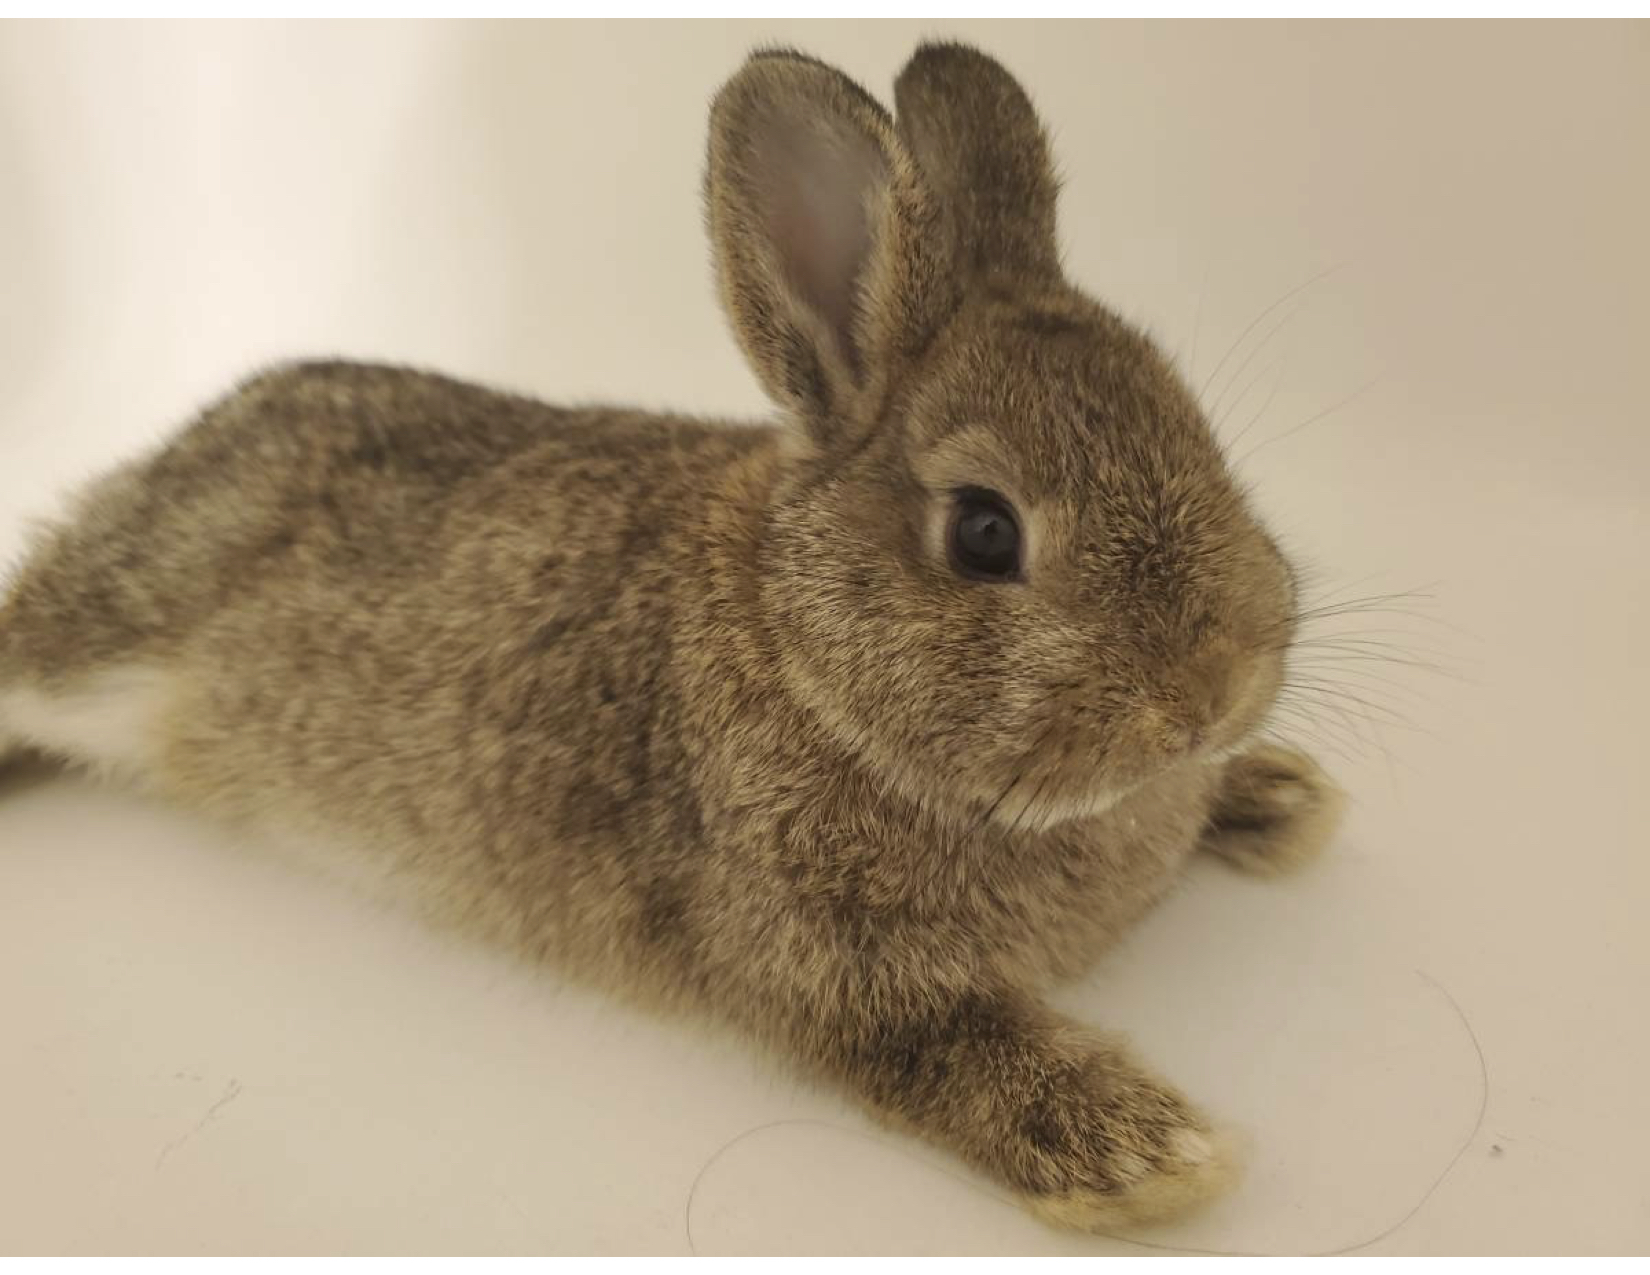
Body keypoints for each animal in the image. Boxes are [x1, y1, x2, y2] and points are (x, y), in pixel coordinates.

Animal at [0, 42, 1344, 1233]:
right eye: (982, 533)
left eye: (1197, 433)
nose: (1217, 691)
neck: (805, 654)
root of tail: (191, 438)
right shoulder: (817, 960)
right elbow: (948, 1046)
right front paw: (1151, 1154)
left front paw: (1280, 800)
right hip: (109, 624)